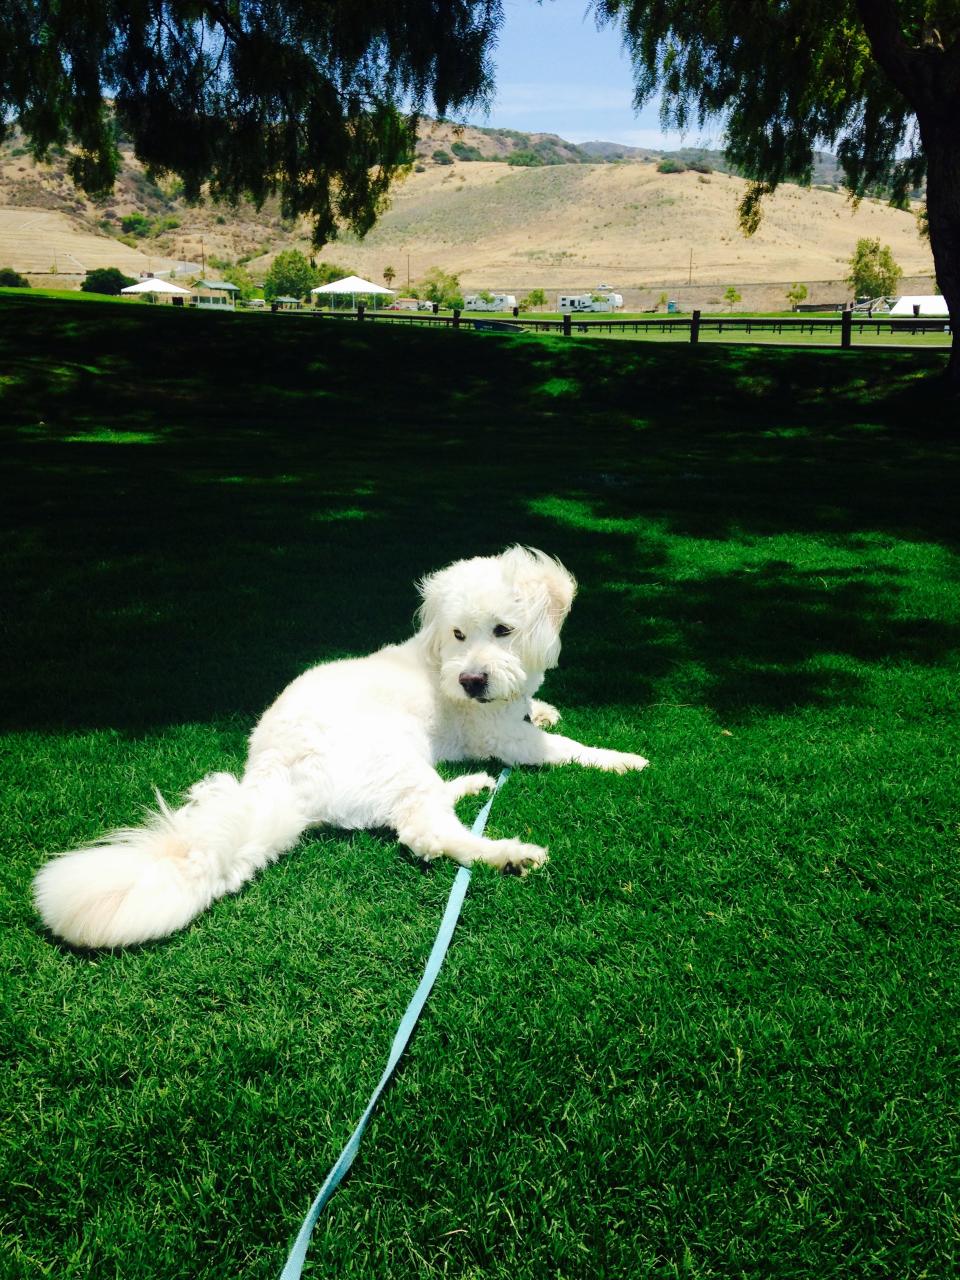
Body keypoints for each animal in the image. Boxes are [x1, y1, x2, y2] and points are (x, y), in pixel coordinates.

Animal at [35, 542, 655, 952]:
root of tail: (274, 781)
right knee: (425, 834)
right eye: (459, 634)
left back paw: (471, 785)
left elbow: (541, 714)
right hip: (395, 756)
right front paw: (622, 760)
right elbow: (566, 748)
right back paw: (507, 854)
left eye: (503, 630)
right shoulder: (503, 737)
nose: (471, 682)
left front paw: (546, 707)